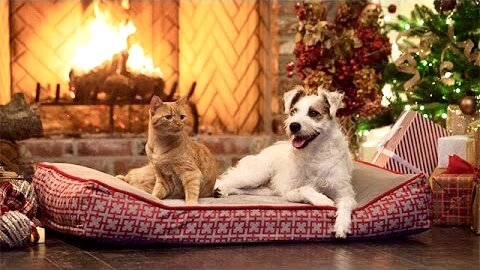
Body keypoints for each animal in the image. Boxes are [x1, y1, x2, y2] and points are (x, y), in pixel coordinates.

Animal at [215, 85, 356, 237]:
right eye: (293, 111)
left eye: (313, 113)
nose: (293, 125)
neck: (315, 154)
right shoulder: (290, 191)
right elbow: (304, 189)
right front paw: (322, 199)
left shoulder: (344, 192)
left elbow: (346, 204)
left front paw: (341, 226)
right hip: (255, 176)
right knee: (223, 180)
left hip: (264, 190)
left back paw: (223, 191)